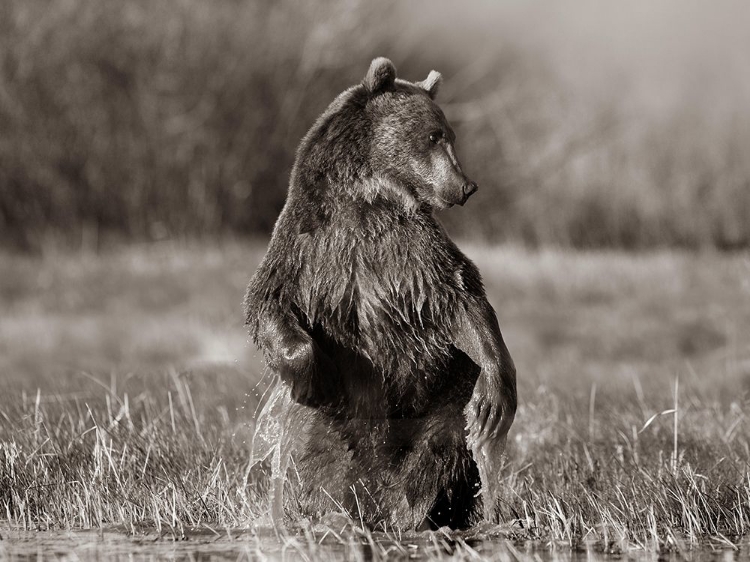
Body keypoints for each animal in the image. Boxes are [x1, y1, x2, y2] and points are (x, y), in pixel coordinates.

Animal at [247, 54, 516, 528]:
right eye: (434, 135)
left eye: (448, 134)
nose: (466, 186)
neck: (367, 198)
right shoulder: (308, 249)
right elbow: (271, 303)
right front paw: (310, 374)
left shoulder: (413, 252)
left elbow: (463, 298)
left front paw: (495, 402)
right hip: (331, 428)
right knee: (319, 465)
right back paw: (332, 511)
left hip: (439, 399)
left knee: (441, 450)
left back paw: (416, 514)